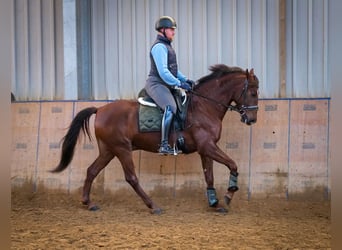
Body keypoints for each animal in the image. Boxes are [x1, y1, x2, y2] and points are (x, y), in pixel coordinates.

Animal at [51, 64, 260, 213]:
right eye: (252, 92)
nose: (251, 119)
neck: (204, 106)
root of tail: (100, 109)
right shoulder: (208, 146)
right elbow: (232, 164)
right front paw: (228, 195)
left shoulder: (205, 148)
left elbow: (209, 175)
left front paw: (215, 202)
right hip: (121, 149)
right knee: (131, 177)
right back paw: (153, 206)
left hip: (108, 150)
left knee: (92, 171)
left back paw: (89, 203)